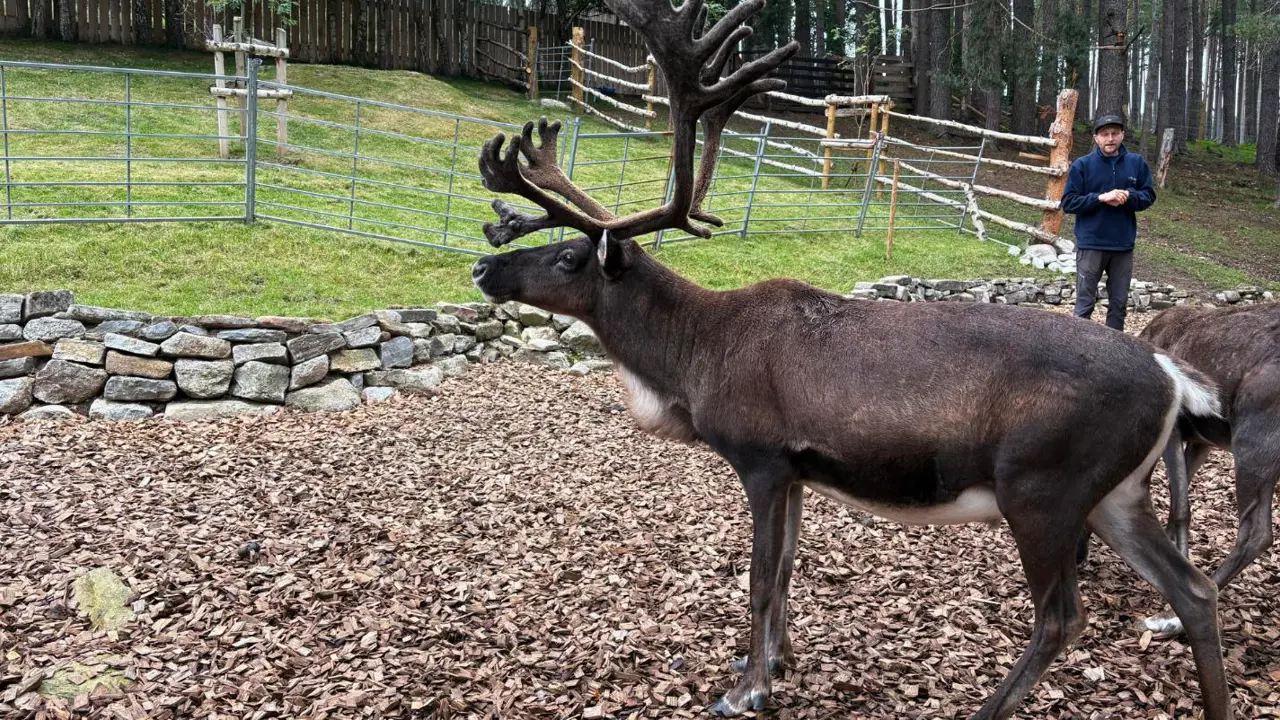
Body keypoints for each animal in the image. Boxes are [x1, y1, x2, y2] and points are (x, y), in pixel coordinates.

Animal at [466, 1, 1233, 717]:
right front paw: (775, 663)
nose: (482, 266)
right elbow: (787, 572)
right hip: (1116, 492)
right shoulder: (800, 471)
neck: (692, 359)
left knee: (1061, 619)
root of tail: (1172, 378)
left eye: (570, 257)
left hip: (1044, 487)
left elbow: (760, 580)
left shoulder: (761, 457)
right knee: (1193, 590)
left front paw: (745, 688)